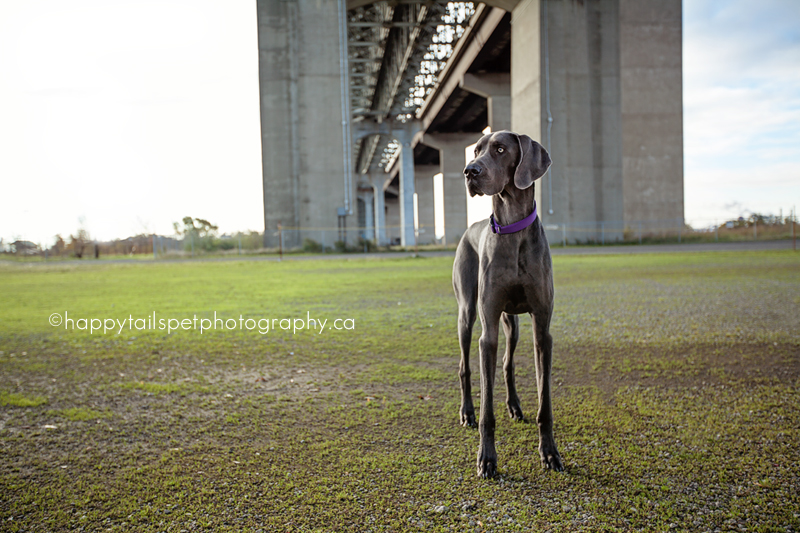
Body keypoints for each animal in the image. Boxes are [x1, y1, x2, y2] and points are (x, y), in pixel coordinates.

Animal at [450, 130, 564, 478]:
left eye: (500, 149)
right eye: (475, 150)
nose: (469, 171)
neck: (511, 228)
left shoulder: (542, 330)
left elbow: (545, 404)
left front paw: (550, 453)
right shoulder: (487, 333)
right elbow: (488, 410)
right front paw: (487, 459)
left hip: (511, 322)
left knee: (507, 363)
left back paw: (514, 405)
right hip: (467, 313)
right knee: (464, 366)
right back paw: (467, 412)